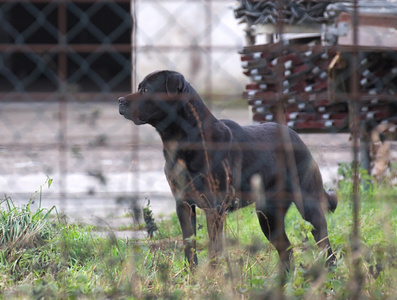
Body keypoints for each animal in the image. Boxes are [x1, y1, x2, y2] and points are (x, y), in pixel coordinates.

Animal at [119, 70, 336, 270]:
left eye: (146, 90)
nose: (120, 100)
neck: (183, 140)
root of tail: (297, 137)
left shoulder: (214, 208)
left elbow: (214, 248)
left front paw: (212, 277)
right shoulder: (183, 204)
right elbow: (189, 245)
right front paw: (191, 276)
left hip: (307, 204)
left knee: (324, 243)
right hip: (267, 213)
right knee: (286, 249)